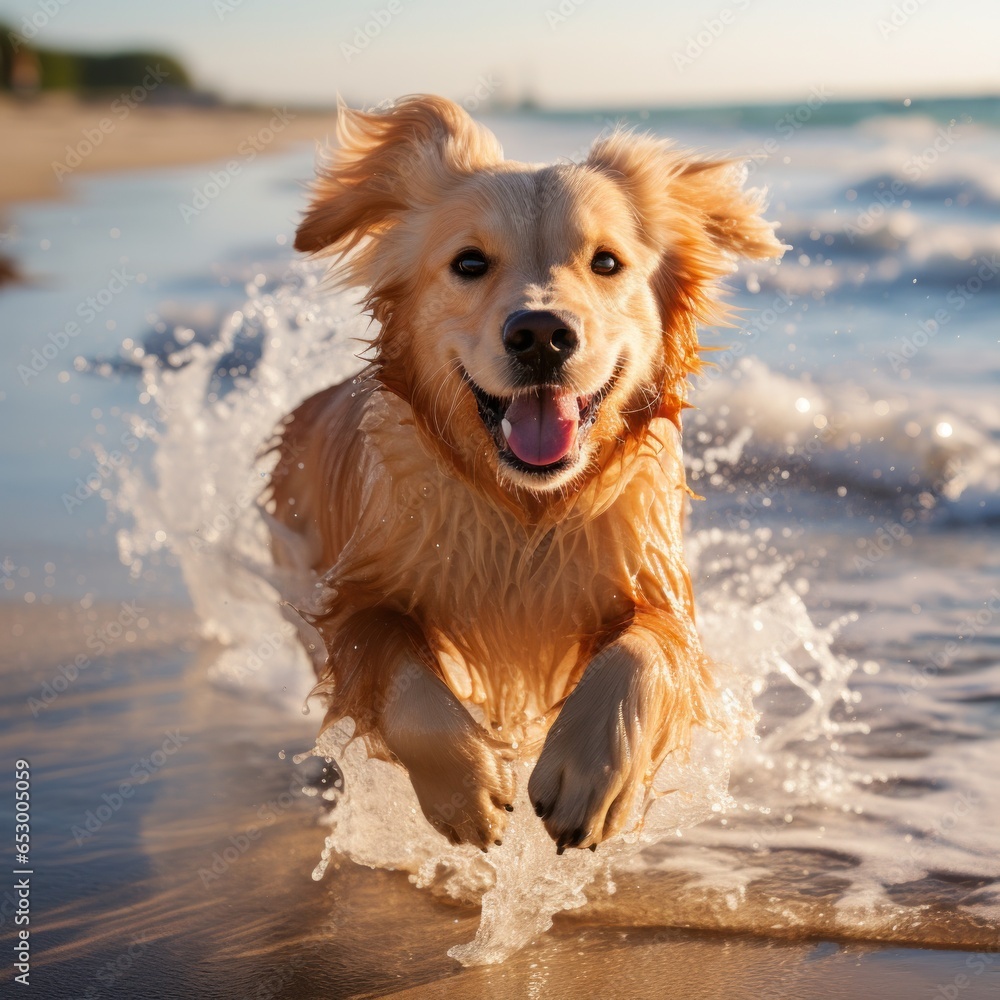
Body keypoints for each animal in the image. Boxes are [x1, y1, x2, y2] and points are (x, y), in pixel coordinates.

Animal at [270, 94, 784, 852]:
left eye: (607, 261)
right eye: (470, 262)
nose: (541, 334)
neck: (524, 511)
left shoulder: (659, 589)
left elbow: (643, 654)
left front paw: (590, 774)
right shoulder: (356, 596)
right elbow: (398, 669)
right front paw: (465, 787)